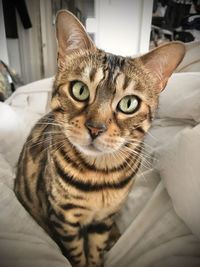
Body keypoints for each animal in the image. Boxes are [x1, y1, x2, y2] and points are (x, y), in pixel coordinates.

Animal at [14, 9, 185, 267]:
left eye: (129, 103)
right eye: (79, 90)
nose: (95, 128)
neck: (99, 175)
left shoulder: (104, 220)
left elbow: (95, 250)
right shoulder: (64, 220)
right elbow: (77, 254)